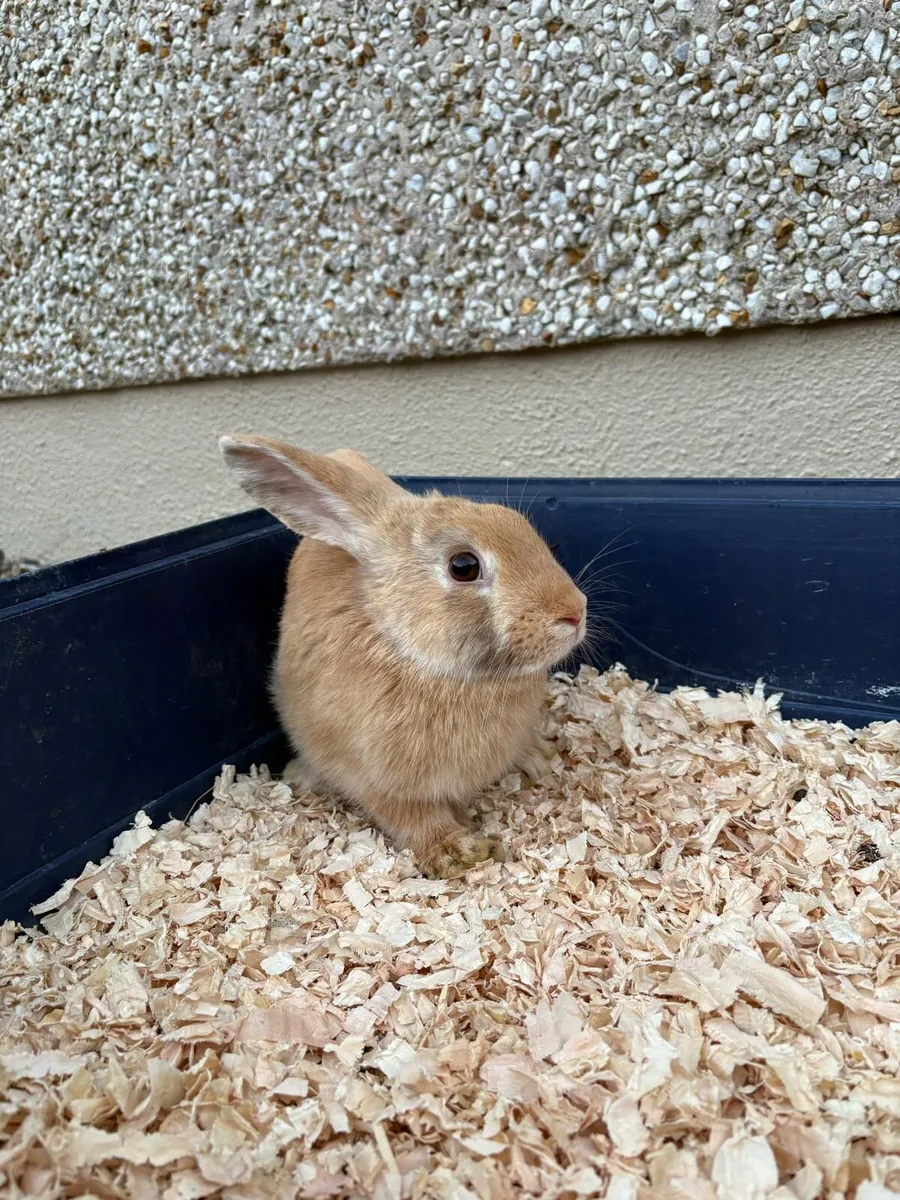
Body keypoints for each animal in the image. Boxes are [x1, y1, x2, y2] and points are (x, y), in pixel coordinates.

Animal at [219, 435, 587, 877]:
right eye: (464, 566)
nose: (575, 611)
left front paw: (538, 759)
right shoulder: (376, 779)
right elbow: (411, 817)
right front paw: (459, 853)